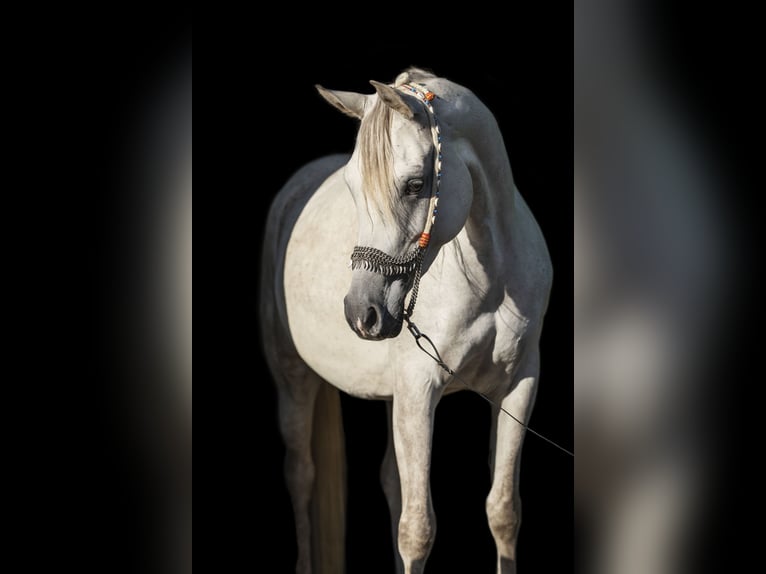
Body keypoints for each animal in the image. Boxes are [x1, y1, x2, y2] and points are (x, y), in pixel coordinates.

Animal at [260, 68, 552, 574]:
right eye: (353, 188)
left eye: (416, 185)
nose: (362, 313)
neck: (492, 281)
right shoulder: (420, 391)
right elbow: (417, 530)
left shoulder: (518, 386)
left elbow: (502, 511)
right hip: (292, 377)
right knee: (301, 476)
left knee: (390, 483)